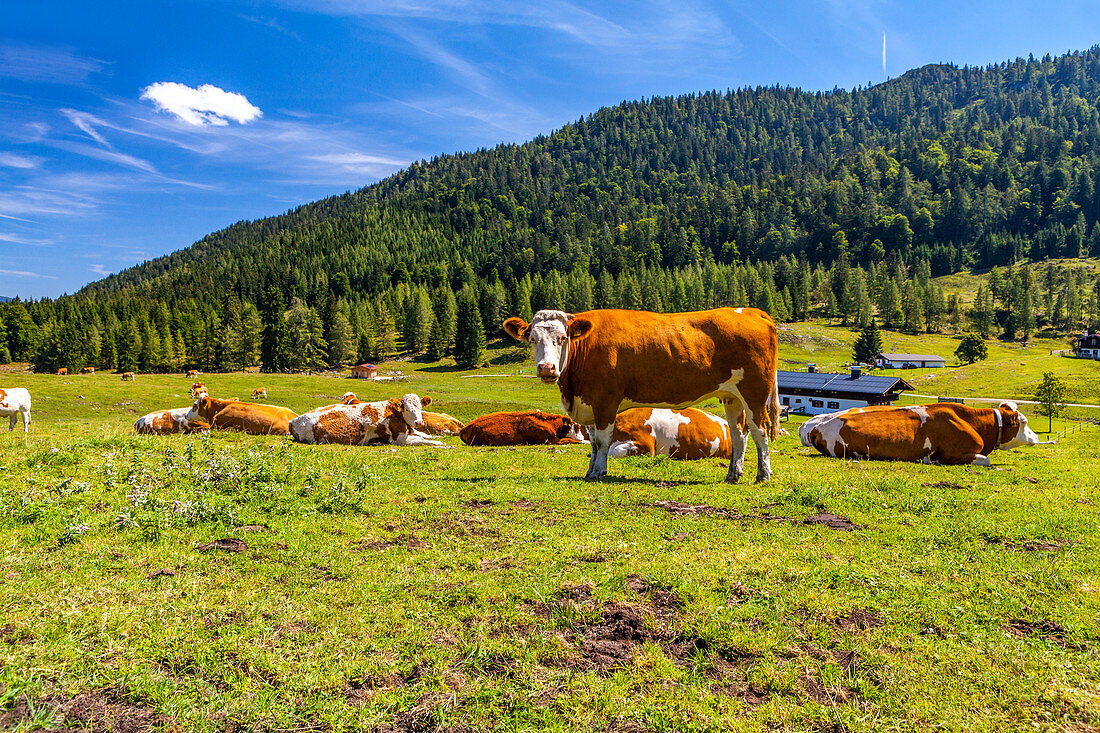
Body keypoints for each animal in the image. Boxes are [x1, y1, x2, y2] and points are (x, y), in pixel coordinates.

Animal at [290, 391, 440, 442]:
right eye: (407, 409)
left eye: (420, 408)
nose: (419, 422)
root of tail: (294, 420)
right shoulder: (397, 438)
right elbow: (424, 441)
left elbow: (424, 435)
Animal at [457, 411, 589, 444]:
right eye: (577, 426)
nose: (582, 436)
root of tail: (465, 427)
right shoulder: (549, 439)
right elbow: (570, 439)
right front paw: (585, 441)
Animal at [506, 305, 783, 482]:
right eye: (532, 338)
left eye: (563, 338)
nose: (546, 368)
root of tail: (751, 311)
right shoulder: (590, 402)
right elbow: (593, 442)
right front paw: (590, 470)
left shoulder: (606, 400)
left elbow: (602, 441)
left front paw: (598, 472)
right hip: (732, 396)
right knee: (739, 434)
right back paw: (733, 474)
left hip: (755, 392)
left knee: (760, 431)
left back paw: (763, 475)